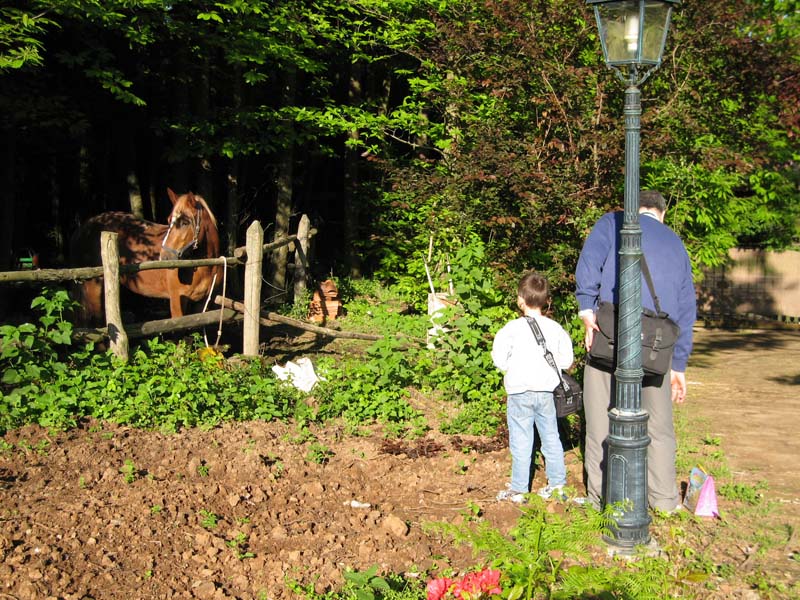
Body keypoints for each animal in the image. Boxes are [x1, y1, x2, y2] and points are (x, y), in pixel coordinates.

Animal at [70, 190, 223, 326]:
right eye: (169, 221)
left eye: (185, 222)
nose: (165, 257)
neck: (205, 267)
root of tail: (83, 229)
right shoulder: (176, 302)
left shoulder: (202, 304)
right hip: (93, 289)